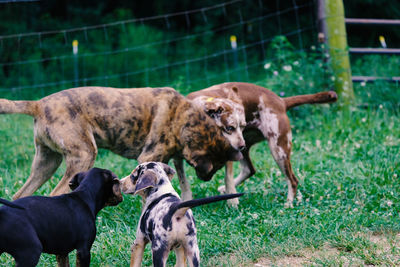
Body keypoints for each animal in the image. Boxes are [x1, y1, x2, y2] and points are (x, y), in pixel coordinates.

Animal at [0, 87, 241, 200]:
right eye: (218, 166)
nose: (206, 178)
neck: (183, 118)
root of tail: (38, 104)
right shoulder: (149, 156)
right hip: (84, 155)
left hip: (46, 163)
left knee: (19, 196)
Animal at [188, 82, 338, 208]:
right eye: (230, 128)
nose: (204, 178)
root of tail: (281, 101)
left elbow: (227, 178)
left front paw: (232, 201)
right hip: (249, 148)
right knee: (249, 169)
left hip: (278, 151)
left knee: (293, 180)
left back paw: (288, 203)